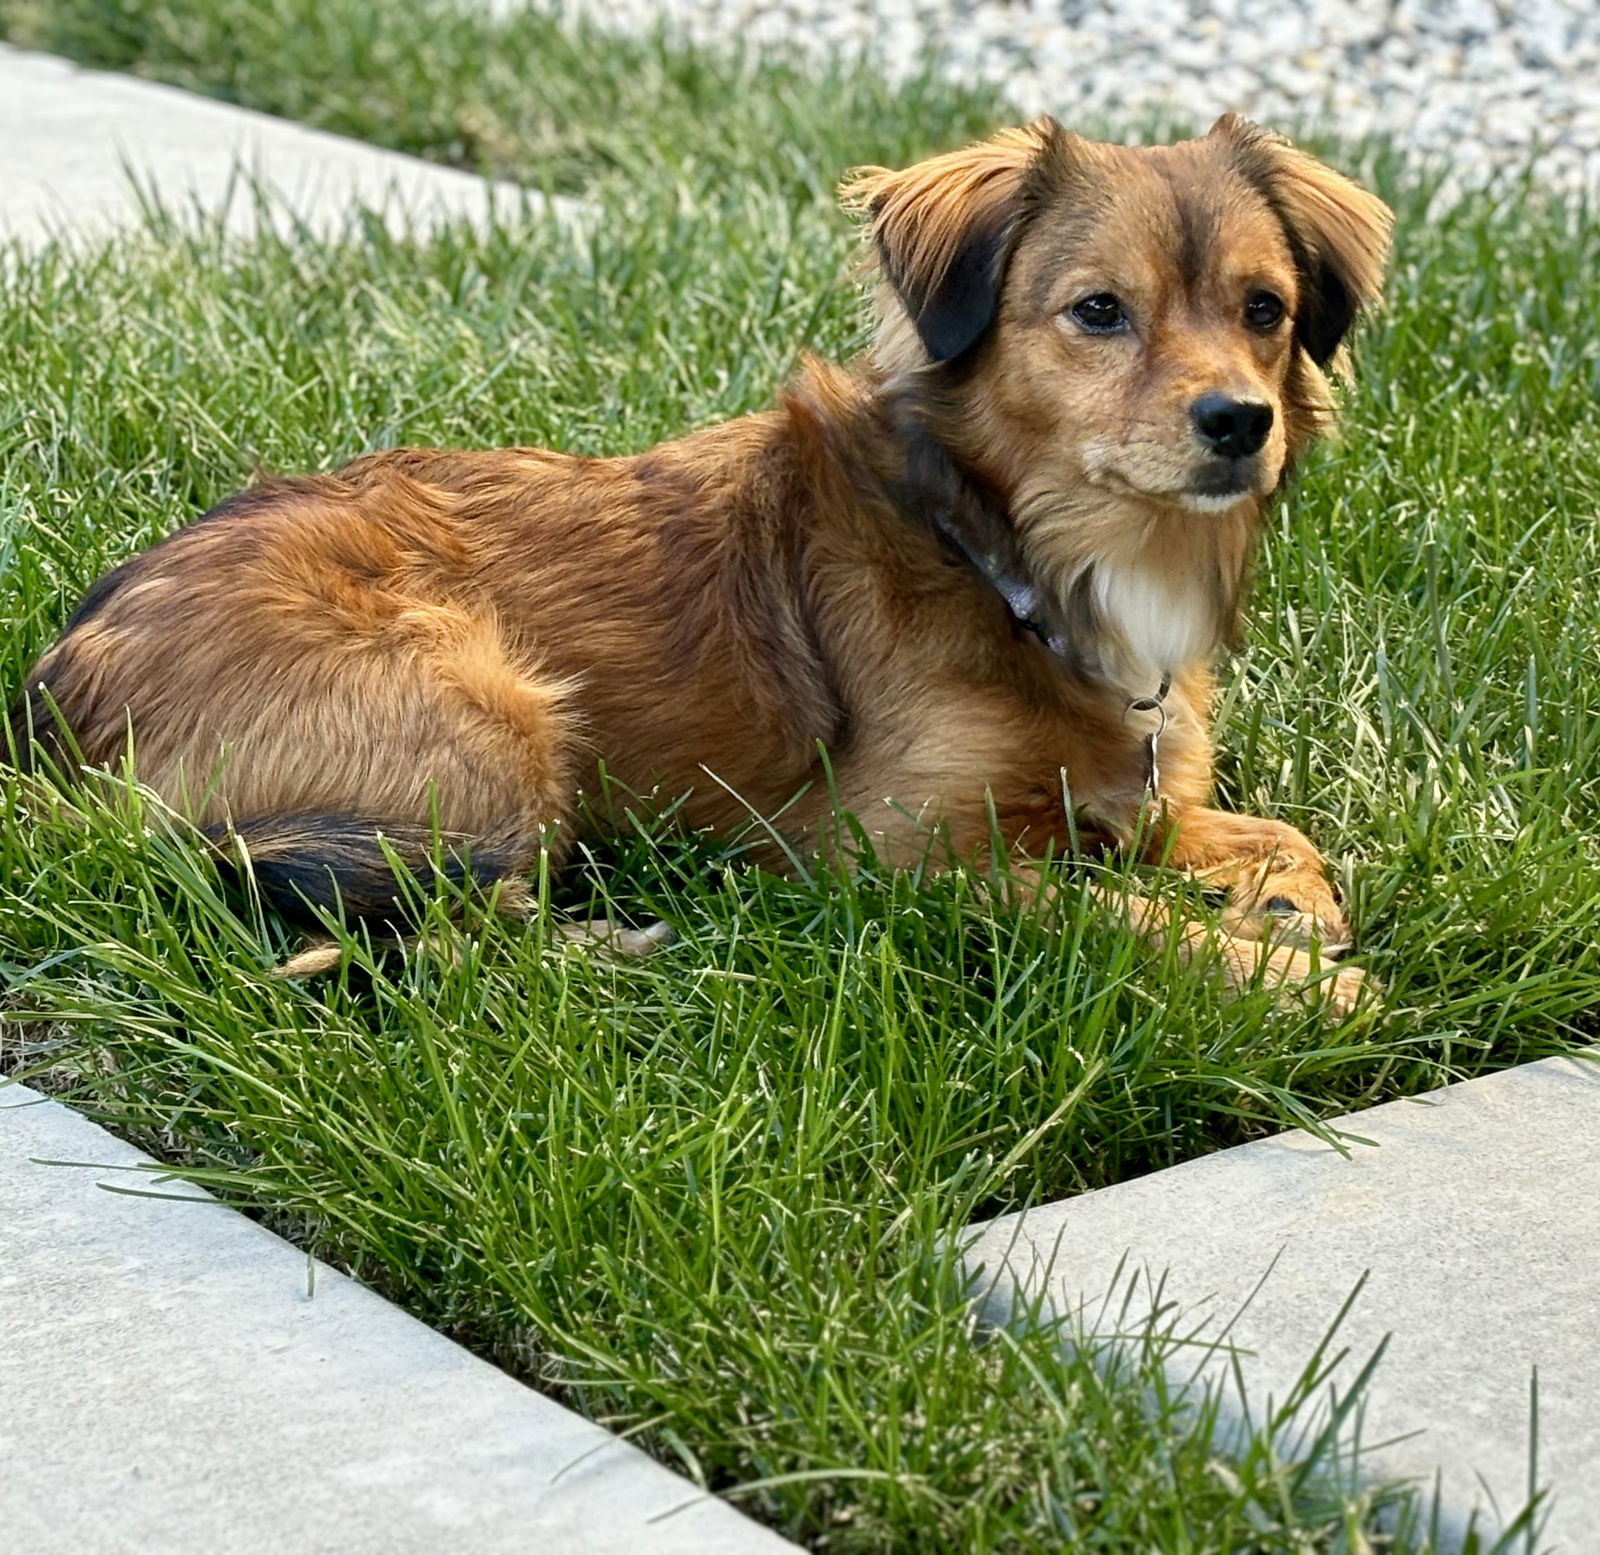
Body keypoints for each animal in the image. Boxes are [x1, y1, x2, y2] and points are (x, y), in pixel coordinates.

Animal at [9, 111, 1388, 1011]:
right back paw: (627, 943)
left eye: (1264, 310)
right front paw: (1275, 975)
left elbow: (1264, 832)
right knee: (437, 929)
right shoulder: (895, 864)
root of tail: (48, 707)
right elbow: (1109, 916)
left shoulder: (1127, 793)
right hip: (490, 712)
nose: (1238, 423)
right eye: (1099, 310)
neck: (1012, 556)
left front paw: (1287, 902)